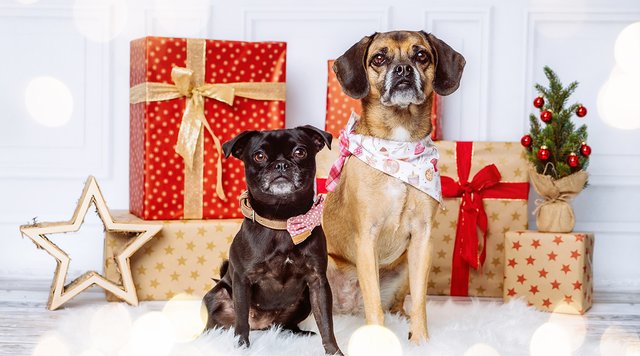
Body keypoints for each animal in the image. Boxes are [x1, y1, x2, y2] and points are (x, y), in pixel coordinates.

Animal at [205, 126, 344, 356]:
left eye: (300, 152)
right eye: (259, 156)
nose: (280, 164)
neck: (282, 221)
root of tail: (263, 326)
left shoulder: (318, 283)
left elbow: (326, 323)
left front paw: (334, 351)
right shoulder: (242, 281)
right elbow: (241, 323)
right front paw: (241, 347)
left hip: (304, 300)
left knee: (285, 325)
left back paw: (300, 333)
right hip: (217, 297)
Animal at [324, 30, 464, 342]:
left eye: (421, 55)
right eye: (379, 58)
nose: (402, 70)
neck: (398, 148)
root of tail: (347, 309)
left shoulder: (422, 238)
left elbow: (421, 300)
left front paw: (421, 340)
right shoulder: (367, 237)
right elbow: (374, 304)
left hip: (403, 267)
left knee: (398, 304)